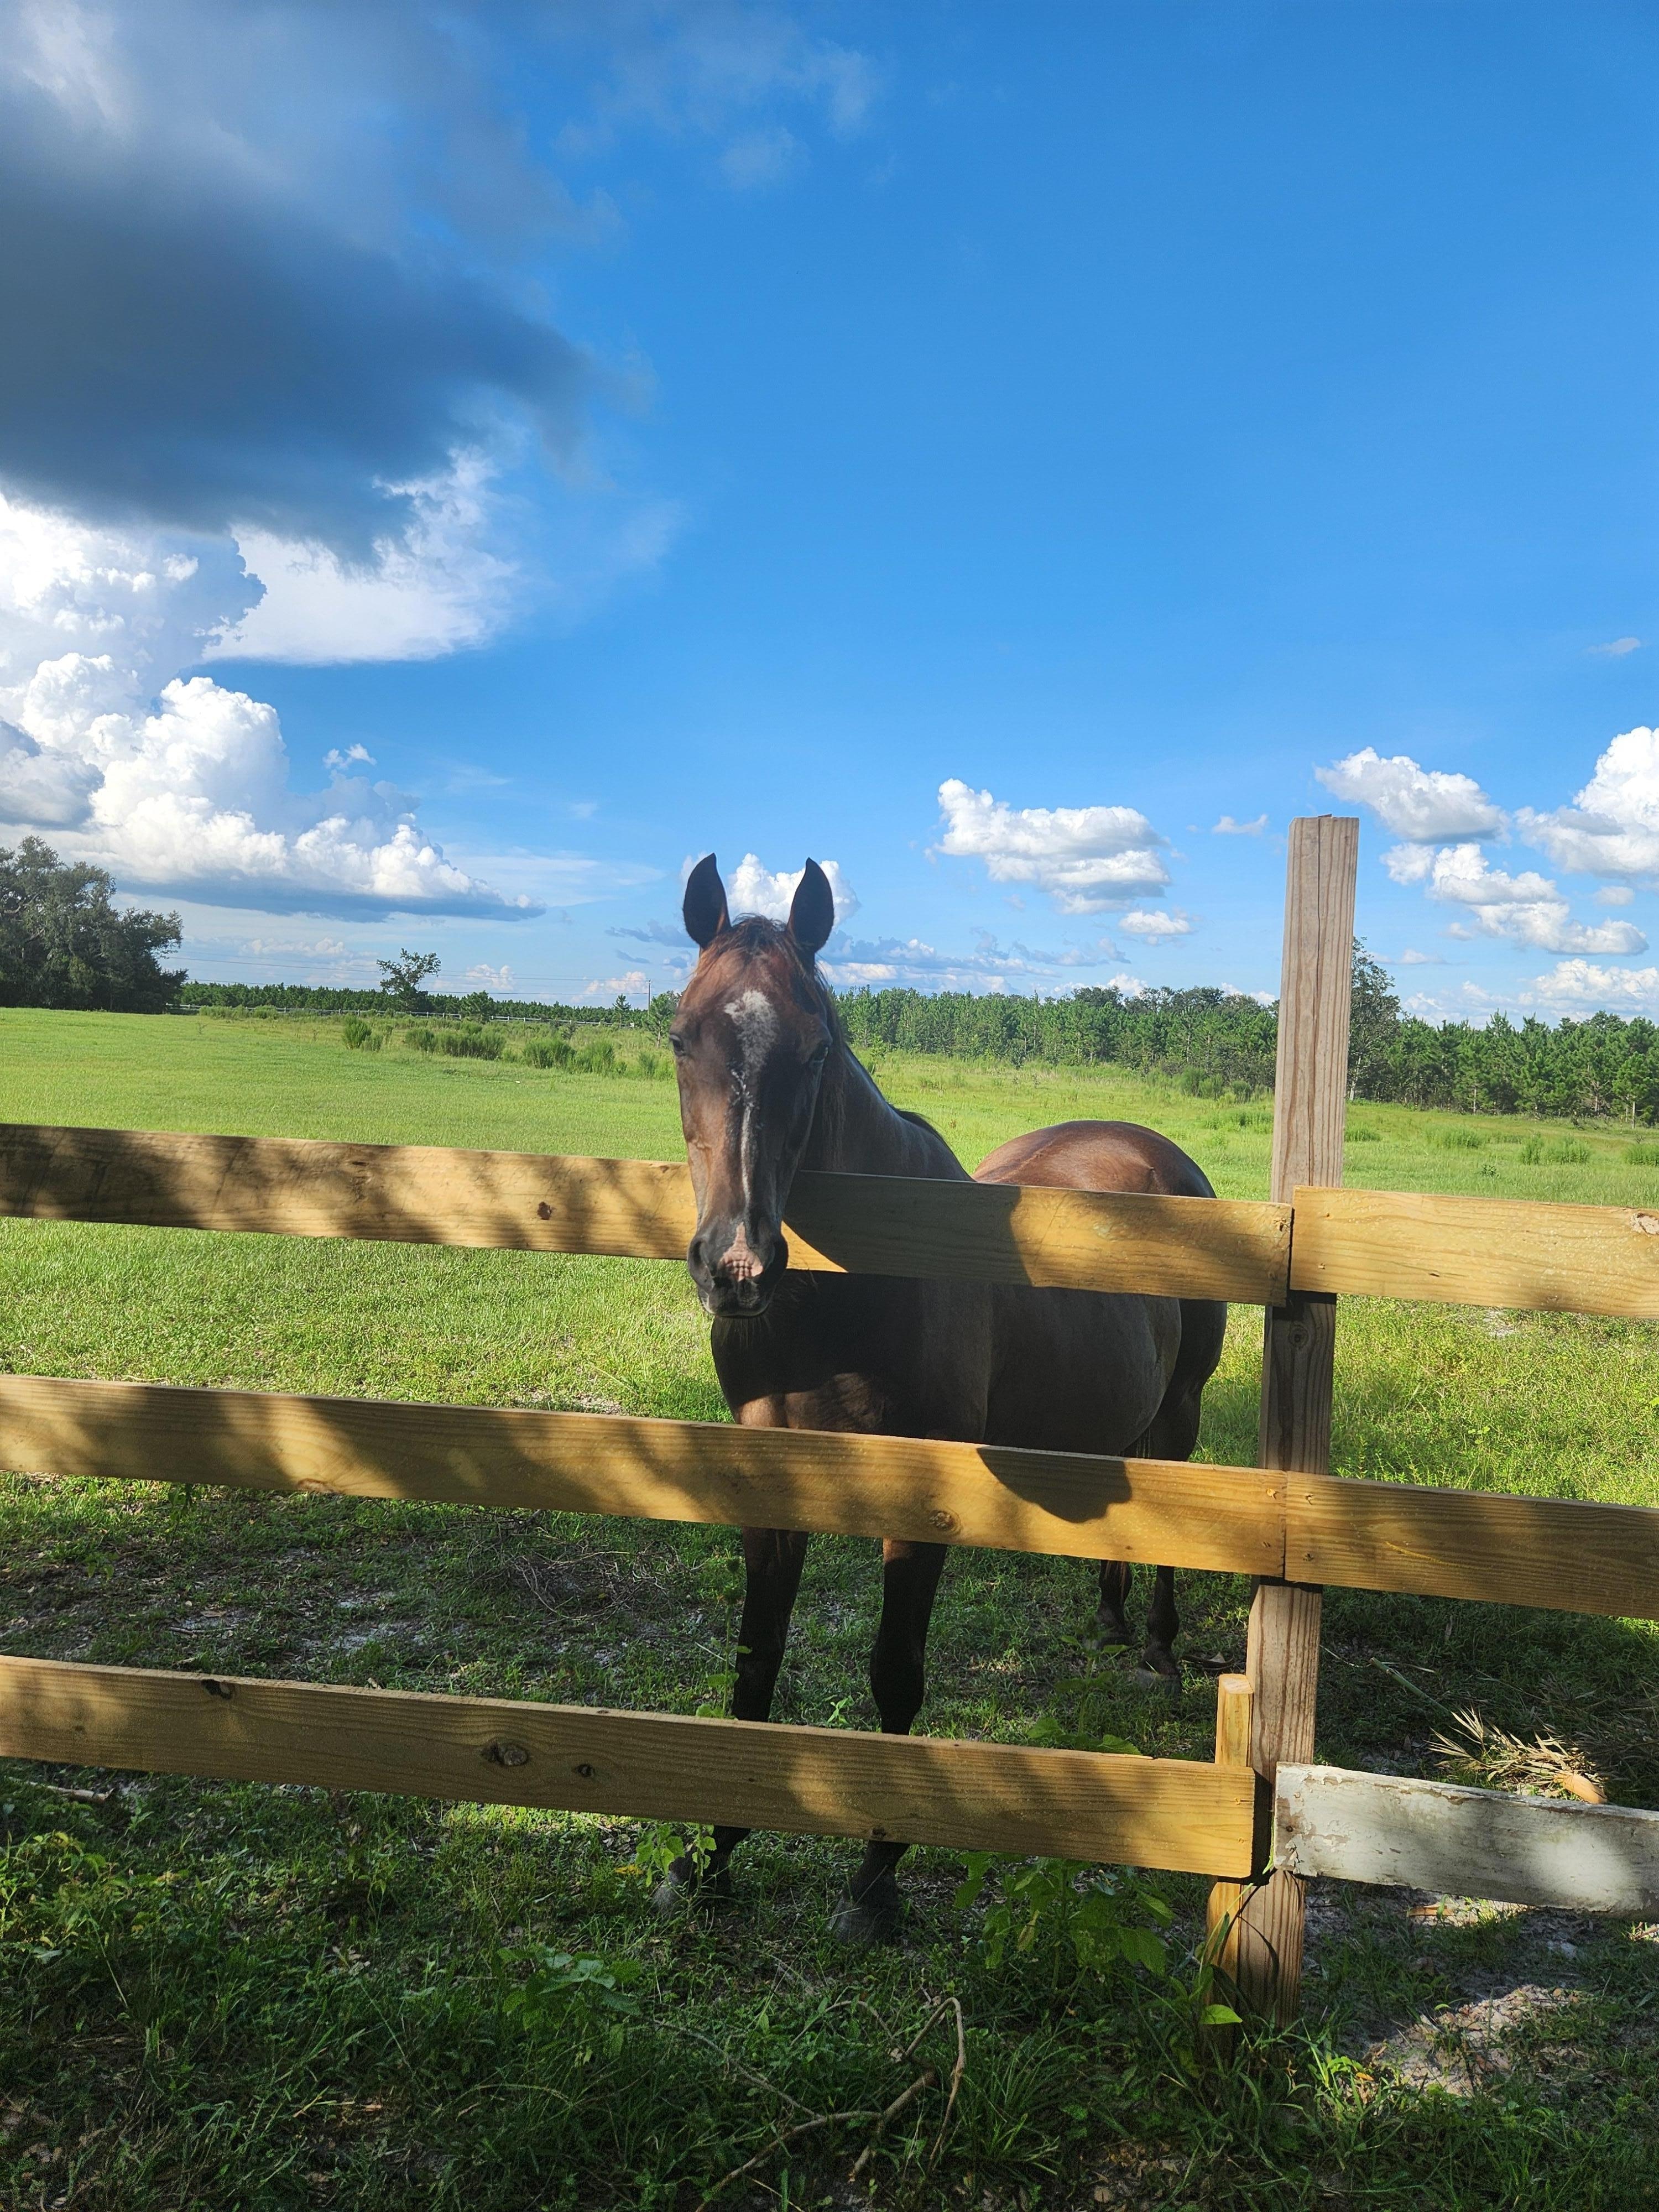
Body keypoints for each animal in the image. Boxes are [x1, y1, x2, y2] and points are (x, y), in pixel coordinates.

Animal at [658, 854, 1226, 1942]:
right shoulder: (770, 1479)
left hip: (1179, 1414)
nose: (736, 1268)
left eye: (816, 1047)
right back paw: (1109, 1621)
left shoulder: (916, 1499)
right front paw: (712, 1856)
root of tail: (1157, 1152)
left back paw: (1158, 1651)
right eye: (680, 1035)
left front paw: (876, 1880)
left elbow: (895, 1674)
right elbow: (754, 1666)